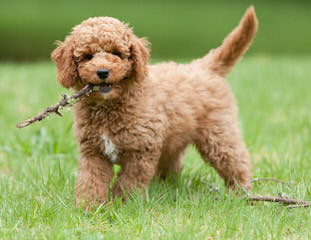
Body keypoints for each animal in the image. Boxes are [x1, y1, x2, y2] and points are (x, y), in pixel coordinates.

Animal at [51, 6, 258, 205]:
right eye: (88, 56)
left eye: (116, 53)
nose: (102, 72)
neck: (110, 106)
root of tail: (204, 66)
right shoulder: (93, 151)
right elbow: (91, 179)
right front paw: (89, 206)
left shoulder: (141, 150)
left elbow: (129, 181)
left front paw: (124, 204)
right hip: (174, 141)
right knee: (174, 163)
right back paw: (165, 187)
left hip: (218, 134)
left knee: (237, 161)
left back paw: (241, 192)